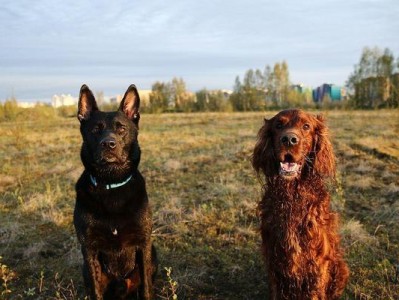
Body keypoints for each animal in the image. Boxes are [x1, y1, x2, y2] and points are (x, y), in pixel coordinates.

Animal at [253, 109, 350, 298]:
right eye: (278, 125)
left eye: (306, 126)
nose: (289, 139)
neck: (292, 196)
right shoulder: (274, 258)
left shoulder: (317, 261)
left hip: (341, 267)